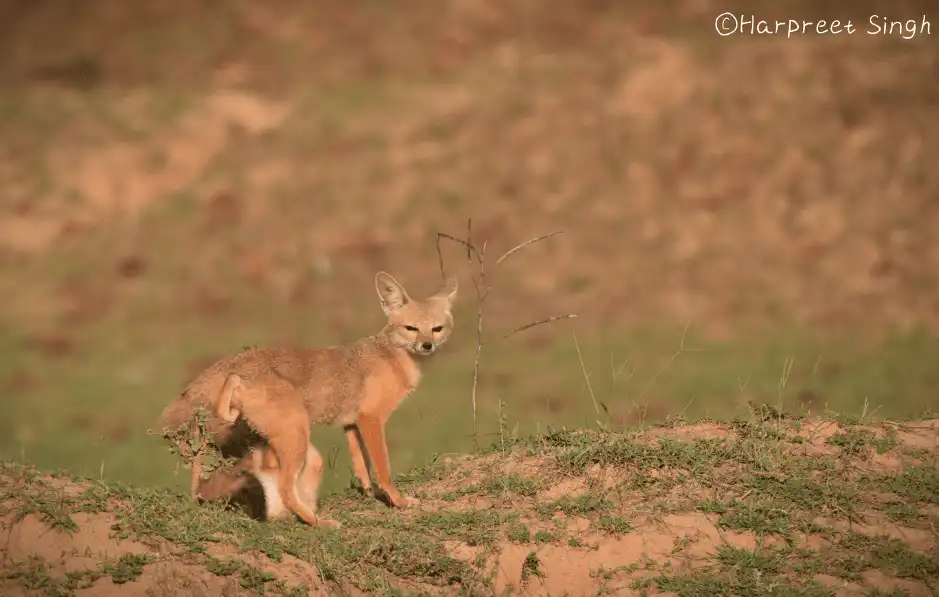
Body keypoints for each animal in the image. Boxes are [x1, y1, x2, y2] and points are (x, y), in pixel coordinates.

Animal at [157, 271, 458, 528]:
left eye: (437, 329)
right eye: (411, 328)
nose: (427, 345)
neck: (394, 359)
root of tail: (241, 372)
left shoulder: (351, 423)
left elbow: (362, 466)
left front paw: (369, 493)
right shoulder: (371, 419)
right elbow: (383, 467)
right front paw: (398, 500)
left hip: (303, 453)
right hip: (298, 440)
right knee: (284, 490)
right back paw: (319, 523)